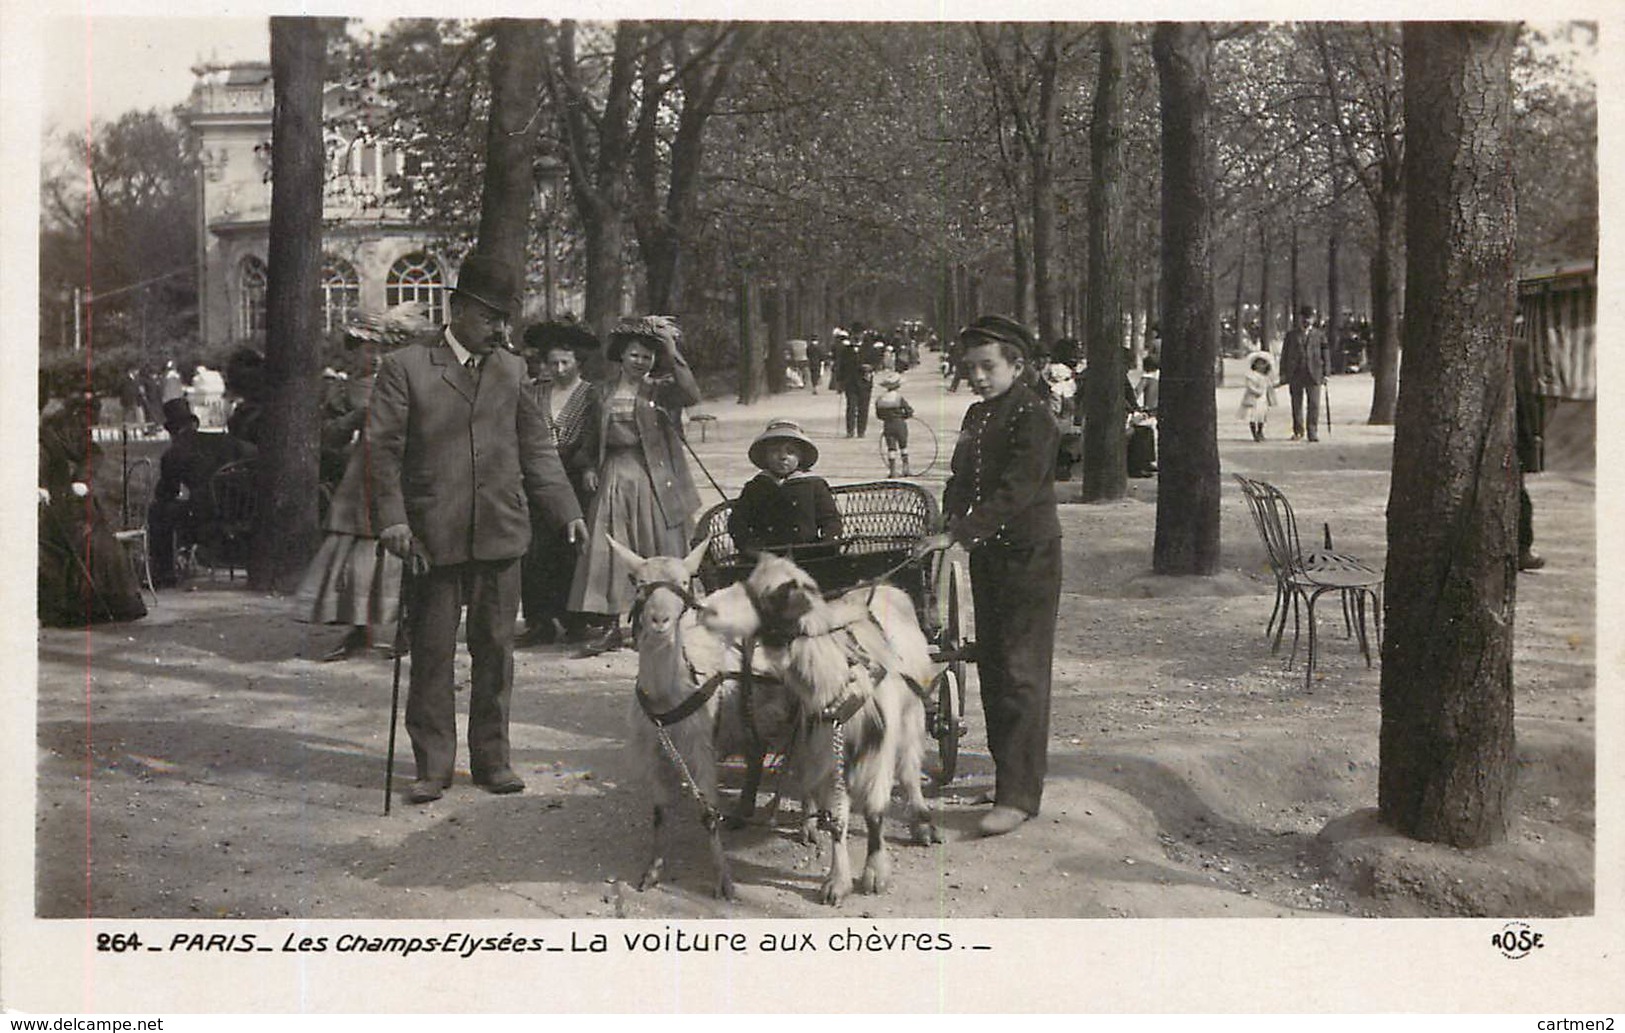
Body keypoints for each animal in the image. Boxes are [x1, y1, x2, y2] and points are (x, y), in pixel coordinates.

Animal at [698, 552, 942, 903]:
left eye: (765, 598)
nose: (706, 608)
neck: (841, 674)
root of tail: (888, 588)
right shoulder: (825, 747)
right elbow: (837, 818)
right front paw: (837, 881)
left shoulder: (877, 748)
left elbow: (875, 811)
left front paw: (875, 872)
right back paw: (808, 822)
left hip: (913, 715)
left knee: (909, 772)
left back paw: (922, 822)